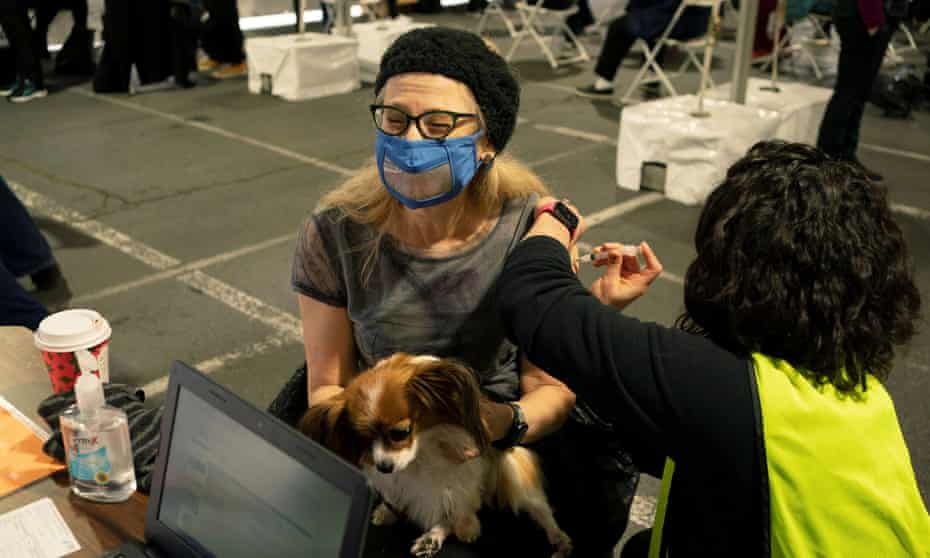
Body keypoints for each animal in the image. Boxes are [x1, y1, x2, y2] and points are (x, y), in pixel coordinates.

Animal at [300, 354, 568, 558]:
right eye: (362, 438)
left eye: (401, 433)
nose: (384, 467)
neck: (422, 449)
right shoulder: (398, 480)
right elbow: (404, 497)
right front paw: (389, 510)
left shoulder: (463, 470)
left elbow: (460, 502)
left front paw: (467, 526)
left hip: (512, 472)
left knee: (539, 508)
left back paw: (559, 539)